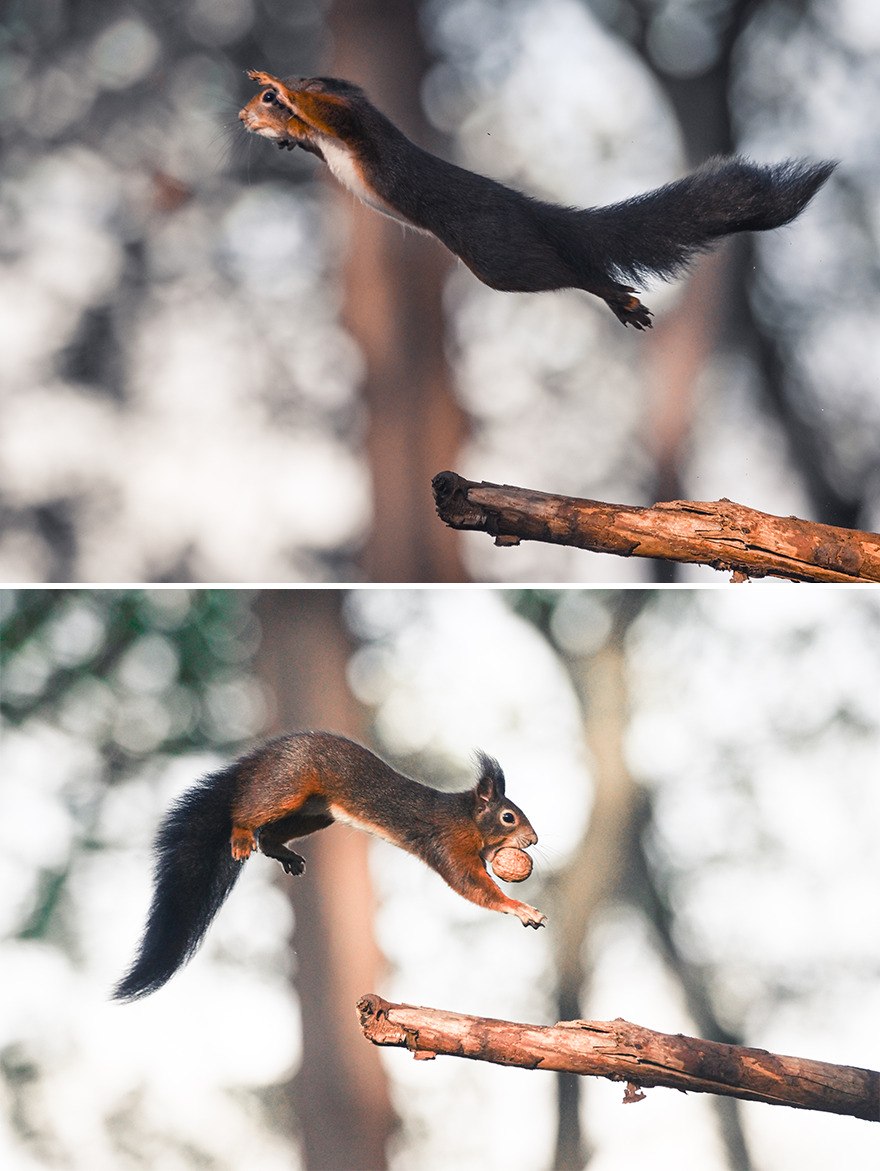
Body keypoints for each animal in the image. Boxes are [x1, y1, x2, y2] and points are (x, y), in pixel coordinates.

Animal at [114, 731, 545, 1000]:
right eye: (509, 817)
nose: (535, 840)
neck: (465, 819)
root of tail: (261, 759)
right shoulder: (447, 845)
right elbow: (471, 885)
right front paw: (520, 908)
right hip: (286, 788)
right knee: (245, 811)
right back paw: (239, 834)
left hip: (314, 813)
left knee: (269, 836)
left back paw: (284, 853)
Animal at [239, 71, 835, 328]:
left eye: (265, 98)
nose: (242, 117)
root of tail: (525, 207)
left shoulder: (352, 122)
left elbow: (328, 112)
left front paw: (284, 88)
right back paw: (623, 305)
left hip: (500, 257)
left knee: (567, 270)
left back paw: (621, 300)